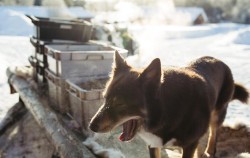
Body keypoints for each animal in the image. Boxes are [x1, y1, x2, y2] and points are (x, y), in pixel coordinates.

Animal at [88, 51, 248, 157]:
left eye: (121, 104)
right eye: (105, 98)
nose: (91, 127)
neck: (167, 110)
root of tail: (218, 60)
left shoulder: (189, 145)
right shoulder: (154, 144)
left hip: (217, 115)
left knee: (213, 135)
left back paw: (209, 151)